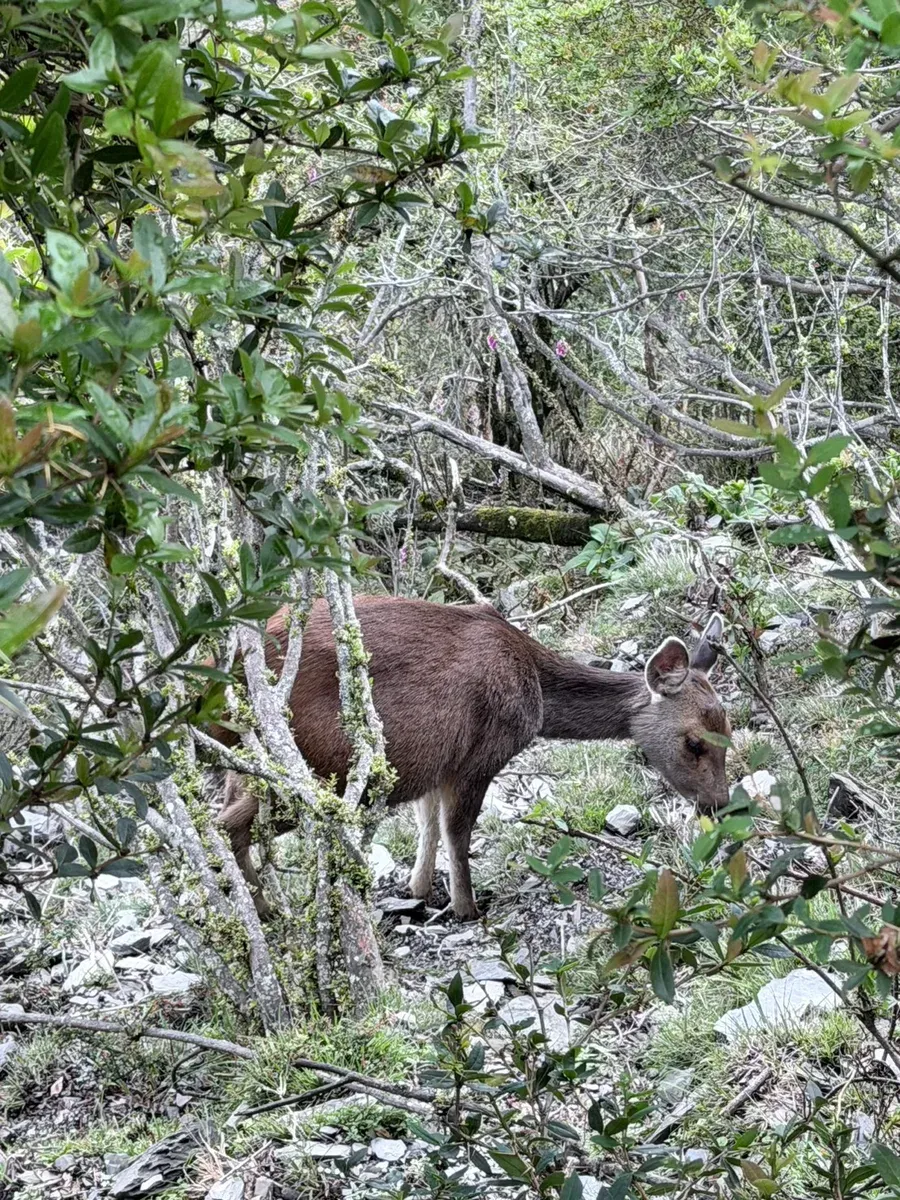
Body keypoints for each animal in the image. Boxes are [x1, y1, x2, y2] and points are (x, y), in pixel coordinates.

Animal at [213, 596, 730, 921]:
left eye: (729, 731)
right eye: (694, 743)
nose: (720, 804)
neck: (536, 697)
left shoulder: (430, 764)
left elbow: (426, 823)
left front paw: (418, 889)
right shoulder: (479, 755)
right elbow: (457, 832)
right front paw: (467, 908)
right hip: (315, 770)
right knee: (227, 825)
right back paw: (263, 911)